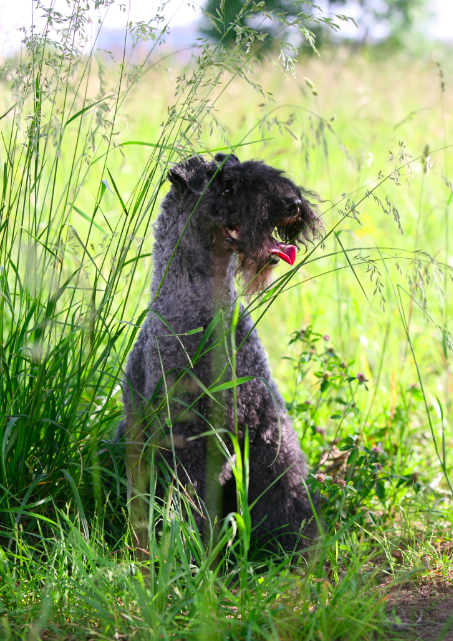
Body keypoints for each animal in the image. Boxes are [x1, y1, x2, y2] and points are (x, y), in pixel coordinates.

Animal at [115, 154, 324, 552]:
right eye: (227, 188)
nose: (292, 205)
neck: (207, 312)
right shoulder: (190, 437)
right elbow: (193, 503)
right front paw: (196, 552)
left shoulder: (266, 428)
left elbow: (284, 490)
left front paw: (297, 547)